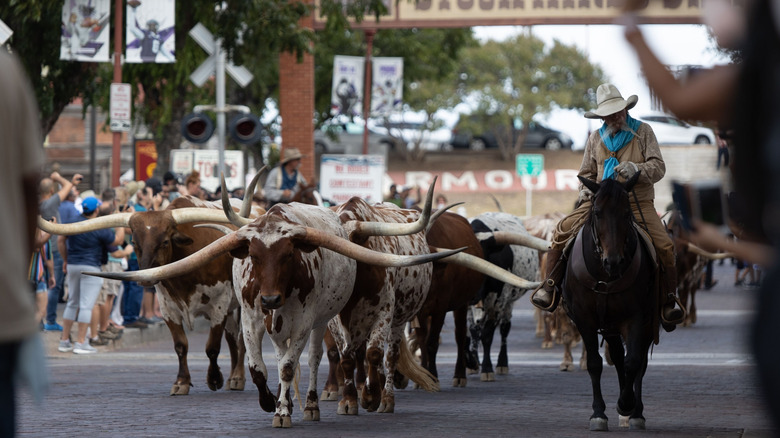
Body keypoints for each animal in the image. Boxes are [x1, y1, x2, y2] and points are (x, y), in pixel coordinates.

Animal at [564, 173, 660, 430]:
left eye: (627, 213)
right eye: (597, 212)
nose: (613, 261)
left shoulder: (636, 317)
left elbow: (633, 362)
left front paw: (627, 405)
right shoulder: (584, 319)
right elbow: (595, 363)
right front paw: (598, 413)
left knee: (637, 363)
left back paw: (635, 412)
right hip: (609, 325)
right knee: (616, 356)